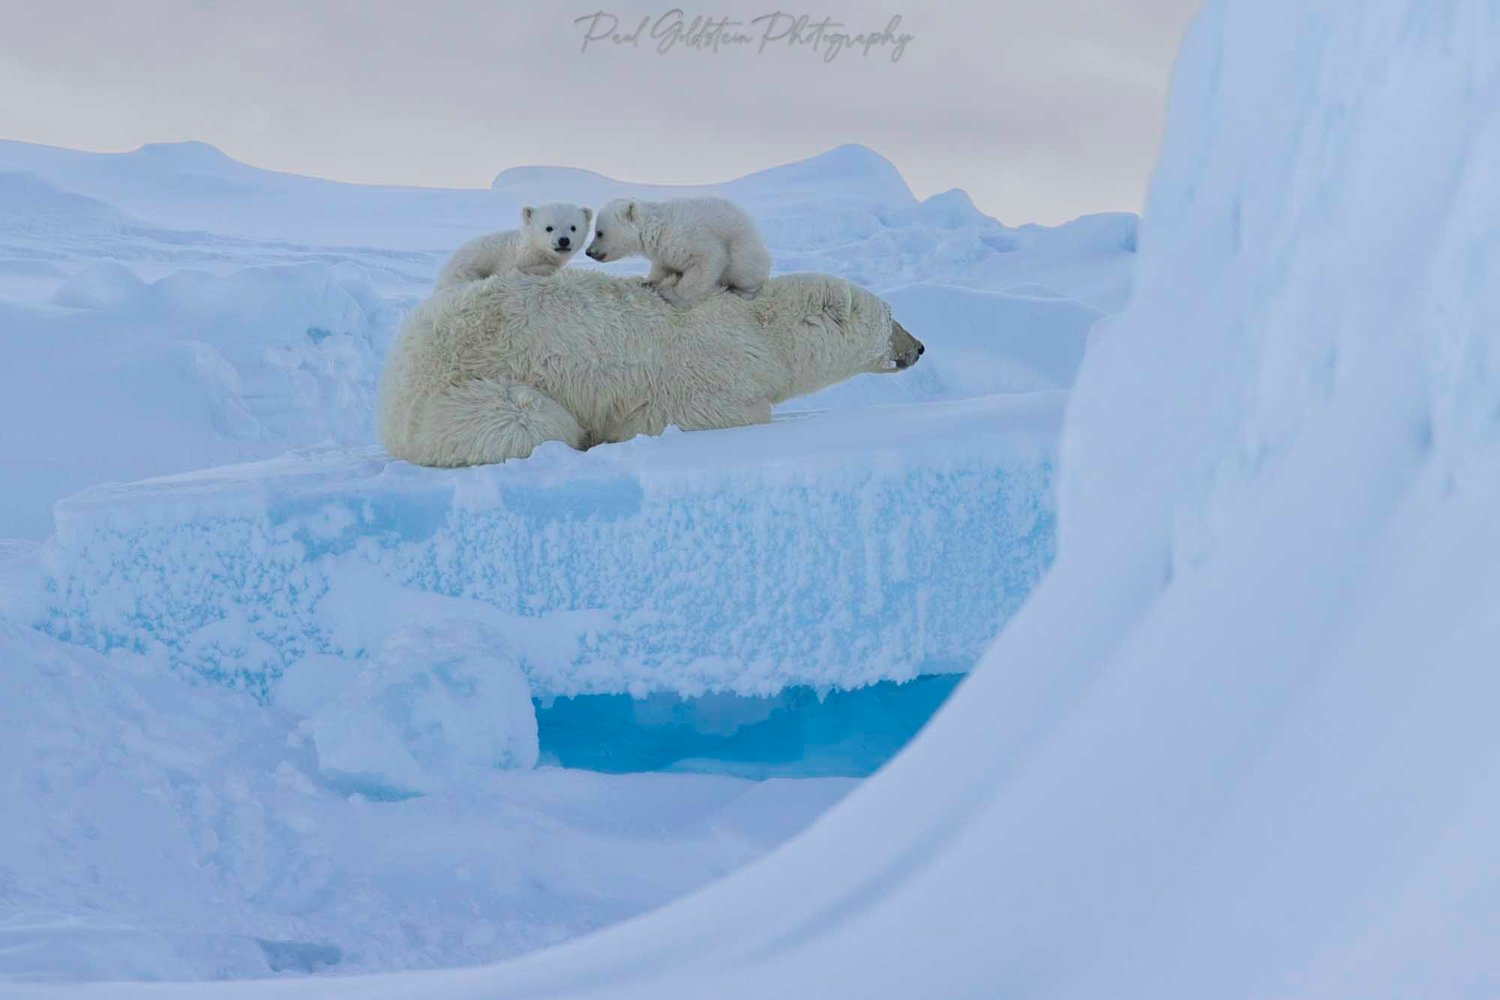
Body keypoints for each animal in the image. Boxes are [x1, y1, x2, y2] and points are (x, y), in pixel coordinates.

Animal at [381, 268, 918, 467]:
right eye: (892, 318)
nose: (919, 348)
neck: (758, 329)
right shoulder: (705, 371)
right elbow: (714, 411)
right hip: (461, 390)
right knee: (525, 419)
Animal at [585, 194, 774, 305]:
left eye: (599, 232)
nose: (589, 252)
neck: (658, 228)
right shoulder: (663, 250)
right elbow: (661, 266)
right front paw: (647, 281)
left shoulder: (688, 238)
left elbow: (709, 260)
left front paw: (669, 294)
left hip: (745, 253)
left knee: (746, 273)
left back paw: (743, 291)